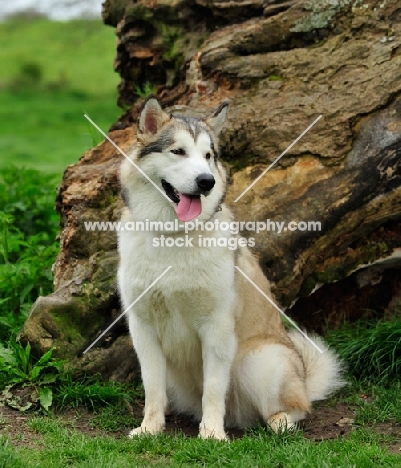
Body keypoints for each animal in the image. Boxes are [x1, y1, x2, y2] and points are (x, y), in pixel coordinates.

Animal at [116, 97, 344, 440]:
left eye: (208, 156)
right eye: (178, 151)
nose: (206, 181)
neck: (174, 235)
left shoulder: (217, 326)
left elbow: (213, 389)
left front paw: (212, 434)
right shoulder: (143, 328)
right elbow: (152, 388)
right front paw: (149, 428)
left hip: (262, 362)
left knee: (297, 408)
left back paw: (278, 422)